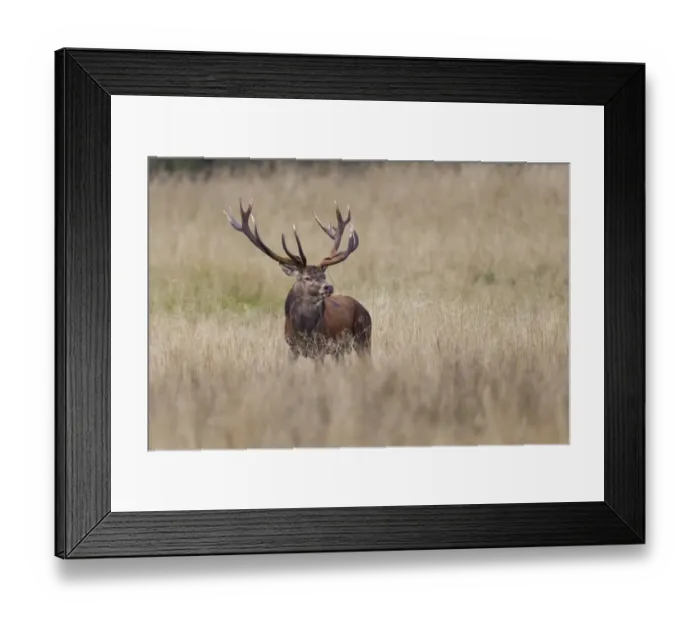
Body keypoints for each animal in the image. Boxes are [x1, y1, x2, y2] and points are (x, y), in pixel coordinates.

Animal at [223, 199, 372, 363]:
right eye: (307, 277)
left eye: (324, 276)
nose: (328, 287)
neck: (303, 330)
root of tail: (364, 308)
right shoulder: (292, 348)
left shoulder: (319, 348)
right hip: (339, 350)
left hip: (364, 338)